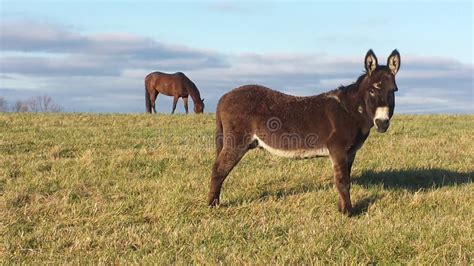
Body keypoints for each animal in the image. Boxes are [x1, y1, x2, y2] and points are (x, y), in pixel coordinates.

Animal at [207, 50, 400, 215]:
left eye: (393, 91)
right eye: (372, 90)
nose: (382, 124)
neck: (350, 111)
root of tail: (223, 97)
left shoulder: (350, 153)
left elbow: (345, 179)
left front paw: (342, 208)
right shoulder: (337, 149)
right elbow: (343, 182)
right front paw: (348, 214)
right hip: (237, 141)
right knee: (218, 170)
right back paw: (212, 205)